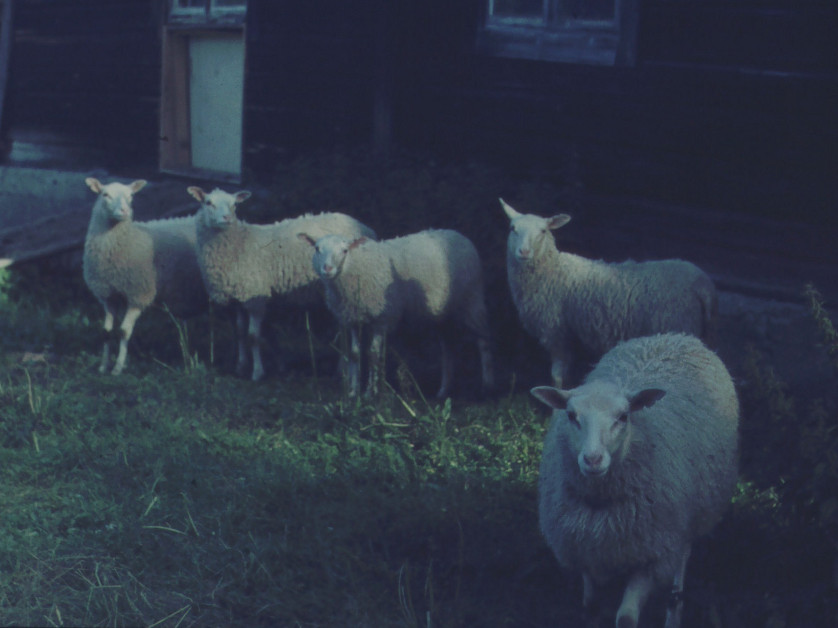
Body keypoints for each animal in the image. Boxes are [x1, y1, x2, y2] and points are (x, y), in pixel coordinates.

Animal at [83, 175, 208, 372]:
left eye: (131, 196)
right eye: (105, 194)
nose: (125, 211)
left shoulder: (138, 295)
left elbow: (124, 331)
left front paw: (118, 367)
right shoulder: (109, 296)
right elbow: (106, 332)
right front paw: (103, 366)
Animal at [190, 185, 378, 382]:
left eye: (234, 205)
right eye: (208, 202)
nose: (226, 218)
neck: (238, 244)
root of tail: (366, 228)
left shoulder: (255, 298)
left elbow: (253, 336)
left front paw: (257, 372)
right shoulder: (237, 298)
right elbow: (240, 333)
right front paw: (241, 367)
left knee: (343, 330)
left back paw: (342, 370)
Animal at [298, 231, 496, 398]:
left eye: (344, 250)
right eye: (317, 249)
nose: (327, 269)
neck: (355, 267)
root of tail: (460, 235)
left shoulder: (382, 318)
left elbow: (373, 354)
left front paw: (370, 393)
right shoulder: (353, 319)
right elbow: (354, 354)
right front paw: (353, 393)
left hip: (472, 300)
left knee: (484, 340)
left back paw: (487, 385)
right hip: (443, 314)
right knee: (448, 348)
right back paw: (444, 390)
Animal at [502, 199, 720, 390]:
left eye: (543, 231)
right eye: (513, 228)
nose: (523, 252)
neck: (552, 270)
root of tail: (703, 284)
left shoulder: (555, 331)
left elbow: (557, 375)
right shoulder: (570, 334)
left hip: (678, 323)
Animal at [532, 334, 740, 628]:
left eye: (623, 417)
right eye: (571, 416)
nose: (593, 460)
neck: (601, 502)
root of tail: (675, 336)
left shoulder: (653, 557)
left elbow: (627, 618)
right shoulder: (583, 551)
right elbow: (590, 605)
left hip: (690, 517)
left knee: (681, 562)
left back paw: (674, 612)